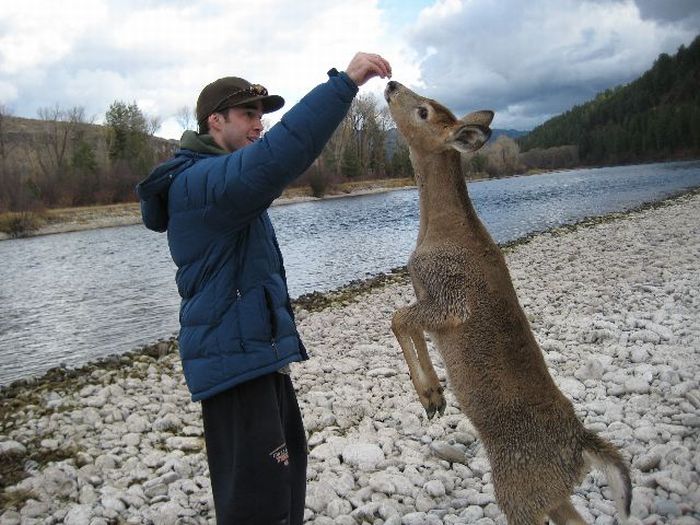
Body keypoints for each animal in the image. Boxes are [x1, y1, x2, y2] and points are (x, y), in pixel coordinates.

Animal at [382, 79, 636, 524]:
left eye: (424, 111)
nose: (392, 84)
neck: (438, 230)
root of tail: (578, 447)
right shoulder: (430, 298)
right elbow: (407, 323)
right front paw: (435, 396)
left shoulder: (449, 297)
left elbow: (399, 318)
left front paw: (430, 394)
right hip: (550, 495)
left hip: (518, 492)